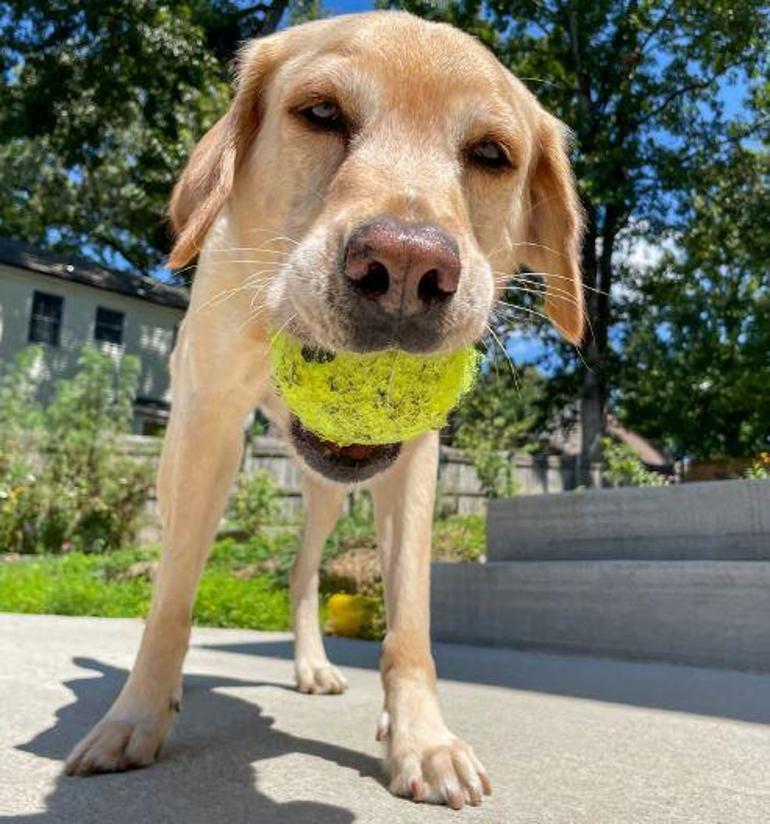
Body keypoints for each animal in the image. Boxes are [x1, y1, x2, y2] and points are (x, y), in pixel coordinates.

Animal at [66, 9, 584, 812]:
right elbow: (173, 599)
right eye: (320, 113)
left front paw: (423, 740)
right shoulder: (210, 424)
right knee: (183, 560)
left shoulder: (417, 462)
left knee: (302, 575)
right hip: (179, 463)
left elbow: (409, 623)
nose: (405, 266)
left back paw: (312, 664)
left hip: (329, 498)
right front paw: (136, 716)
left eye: (491, 154)